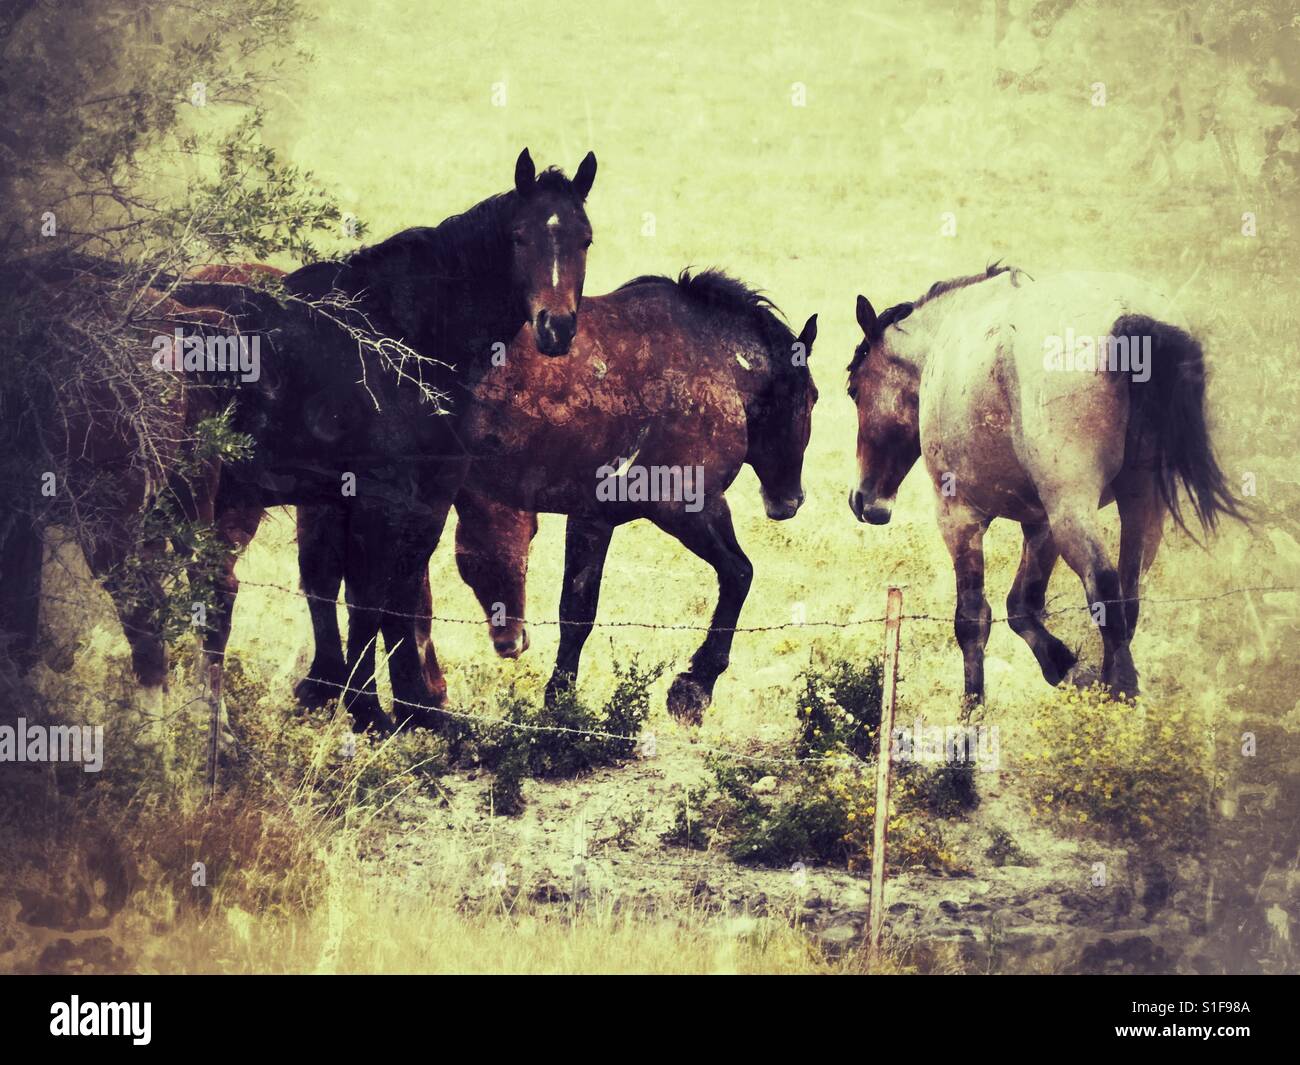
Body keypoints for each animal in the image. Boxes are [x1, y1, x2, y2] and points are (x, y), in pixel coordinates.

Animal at [170, 148, 597, 731]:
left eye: (585, 239)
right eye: (519, 237)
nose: (555, 327)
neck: (398, 335)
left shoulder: (418, 498)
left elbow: (392, 592)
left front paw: (404, 706)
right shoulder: (380, 497)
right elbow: (369, 598)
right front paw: (368, 708)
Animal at [454, 269, 819, 723]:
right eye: (812, 397)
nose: (789, 501)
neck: (710, 358)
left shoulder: (592, 519)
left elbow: (576, 612)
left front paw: (560, 704)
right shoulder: (689, 508)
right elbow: (739, 574)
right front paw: (694, 688)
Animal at [846, 263, 1245, 704]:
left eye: (854, 391)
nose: (862, 500)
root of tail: (1128, 317)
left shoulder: (959, 517)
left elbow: (972, 620)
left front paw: (972, 713)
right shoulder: (1040, 523)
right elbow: (1023, 606)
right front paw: (1070, 669)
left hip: (1073, 509)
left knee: (1104, 587)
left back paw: (1119, 693)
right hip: (1139, 502)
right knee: (1127, 596)